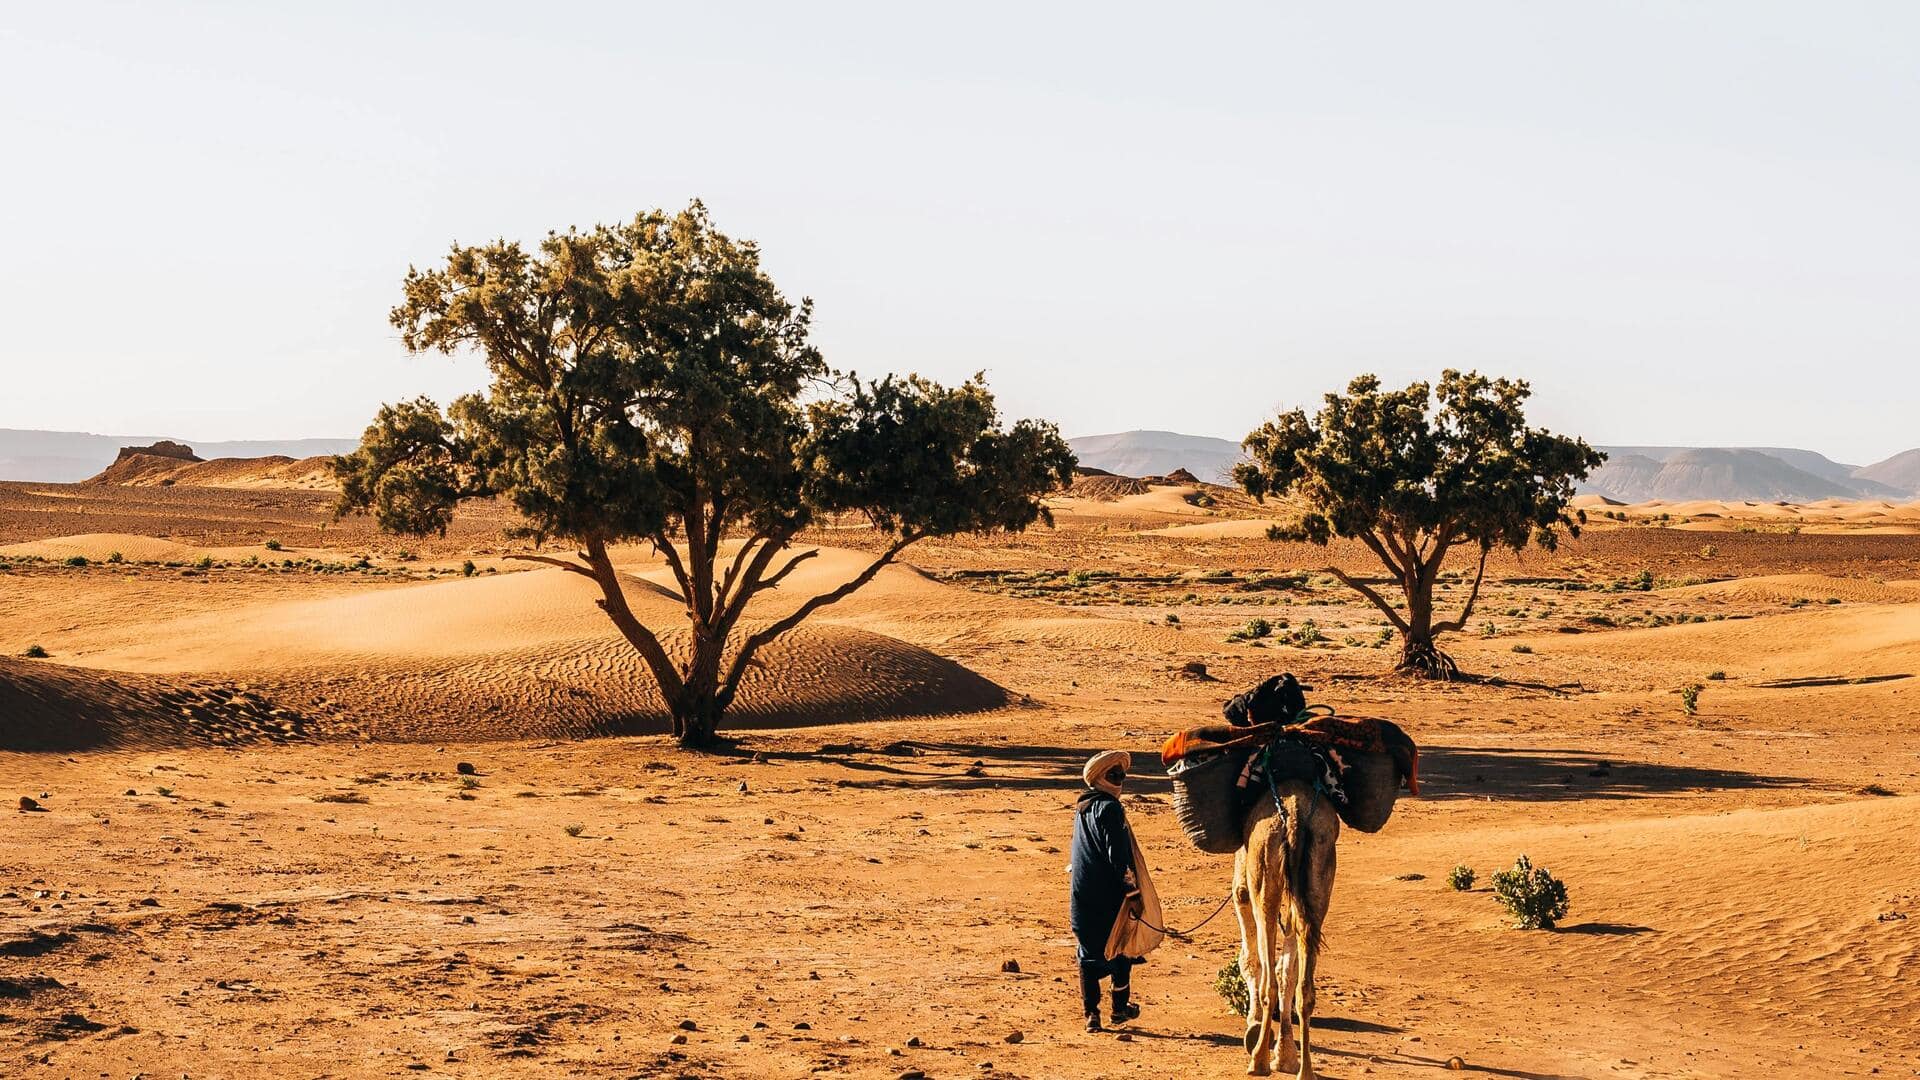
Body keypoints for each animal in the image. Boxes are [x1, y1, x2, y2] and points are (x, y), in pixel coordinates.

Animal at [1228, 772, 1336, 1076]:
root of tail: (1296, 815)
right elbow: (1287, 969)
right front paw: (1286, 1056)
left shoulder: (1243, 881)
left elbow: (1249, 960)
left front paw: (1253, 1025)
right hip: (1320, 865)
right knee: (1304, 986)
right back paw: (1305, 1071)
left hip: (1265, 870)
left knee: (1269, 984)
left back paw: (1258, 1061)